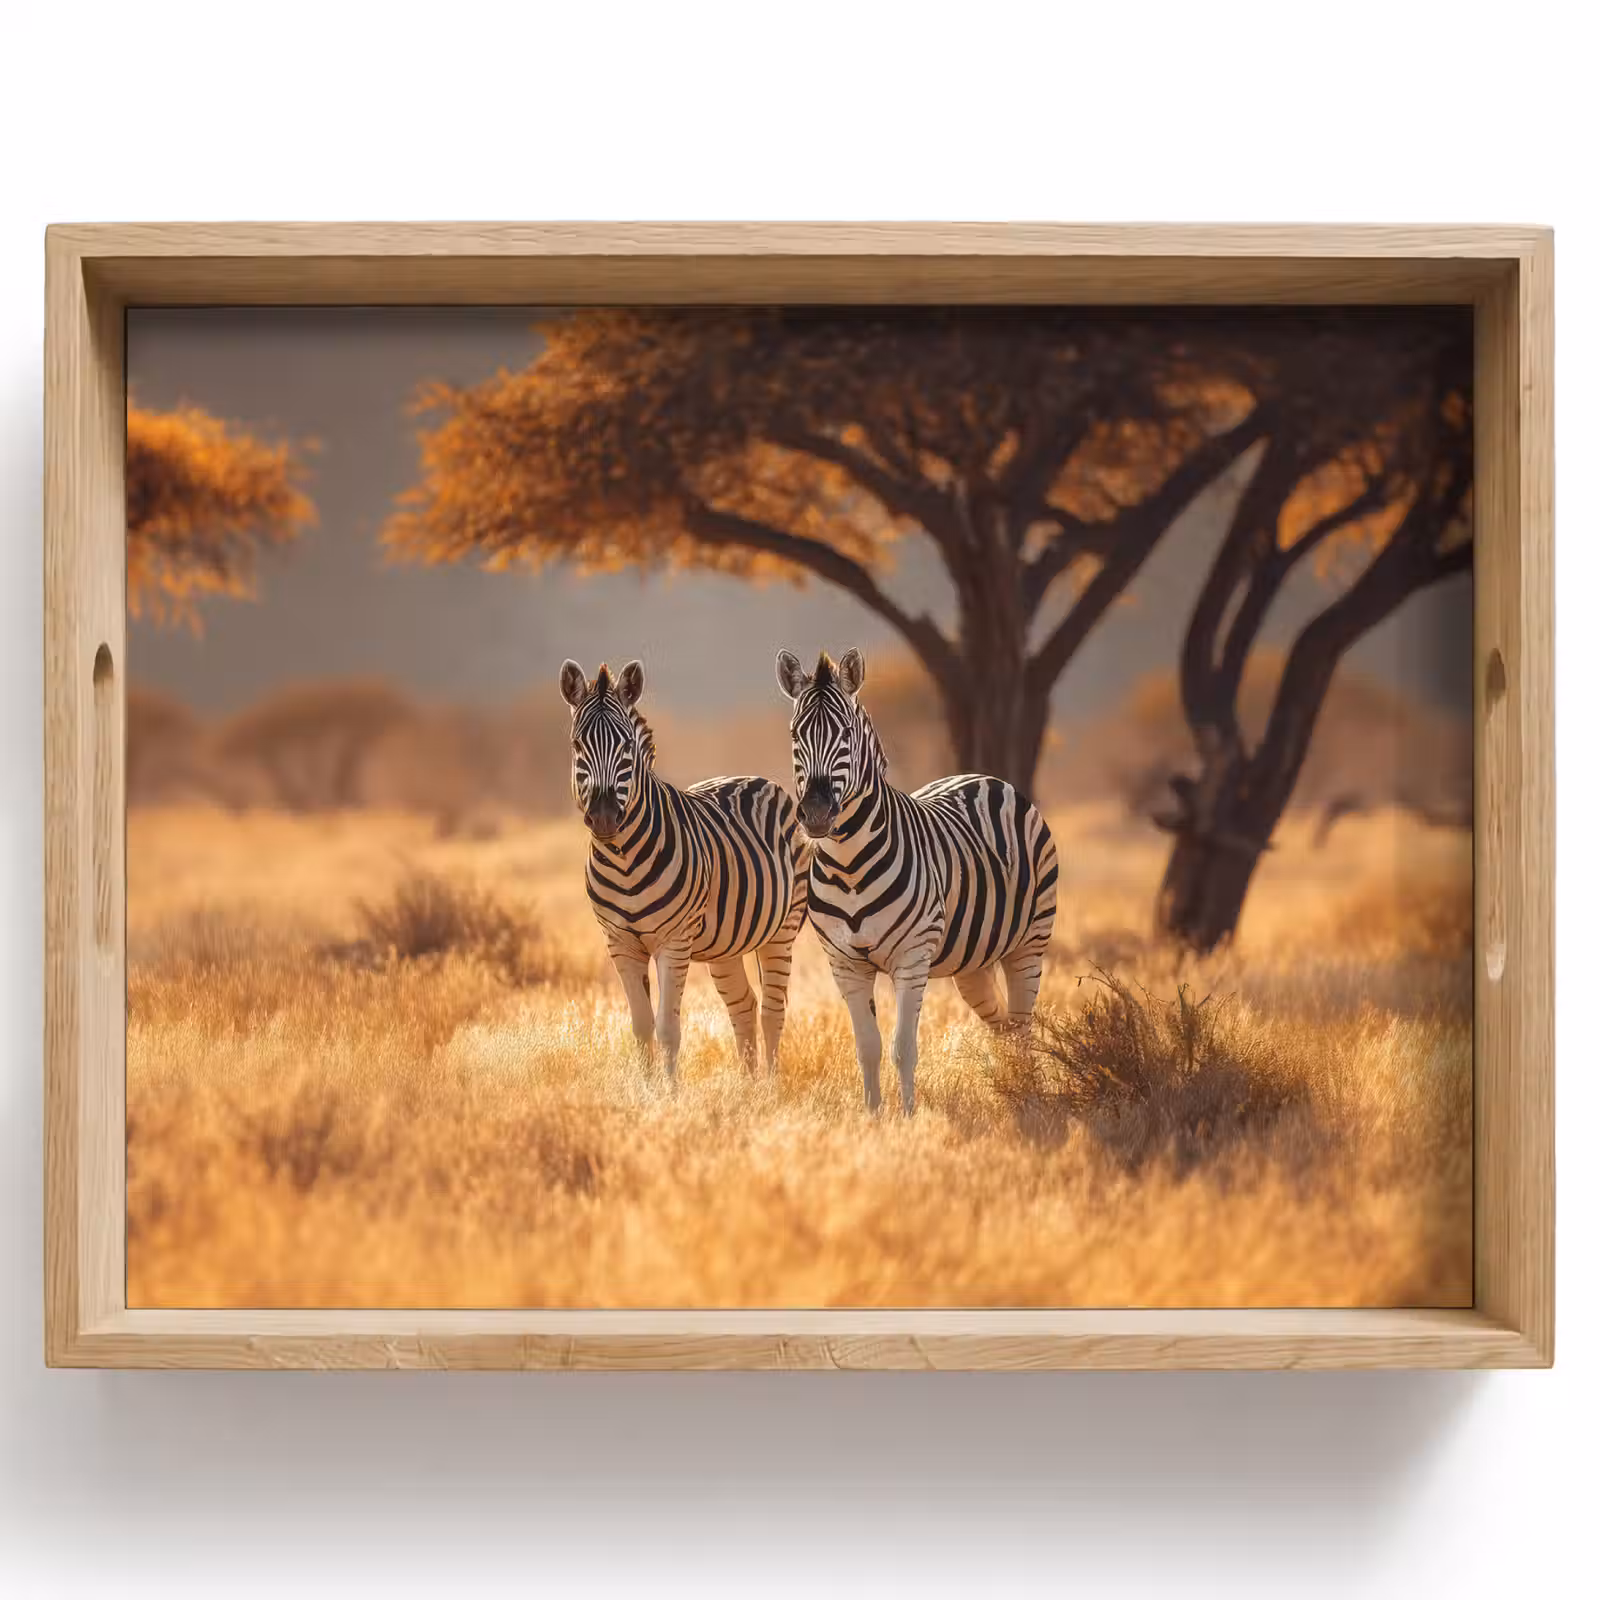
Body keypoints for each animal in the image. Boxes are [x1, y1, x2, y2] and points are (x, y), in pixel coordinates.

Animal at [561, 658, 809, 1081]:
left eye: (626, 746)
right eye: (578, 745)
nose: (605, 816)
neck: (624, 860)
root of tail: (756, 778)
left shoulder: (673, 942)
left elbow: (667, 1028)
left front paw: (670, 1092)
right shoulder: (619, 943)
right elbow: (641, 1026)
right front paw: (645, 1090)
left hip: (783, 928)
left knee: (773, 1012)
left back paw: (770, 1088)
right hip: (727, 943)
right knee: (743, 1005)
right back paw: (747, 1088)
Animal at [776, 647, 1058, 1115]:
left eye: (846, 734)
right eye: (796, 735)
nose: (815, 813)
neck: (849, 866)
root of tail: (984, 777)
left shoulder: (911, 958)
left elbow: (902, 1048)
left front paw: (908, 1118)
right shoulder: (845, 964)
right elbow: (868, 1046)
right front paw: (873, 1116)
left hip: (1029, 942)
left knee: (1021, 1027)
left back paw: (1029, 1096)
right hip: (973, 961)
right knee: (1001, 1024)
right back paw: (1011, 1087)